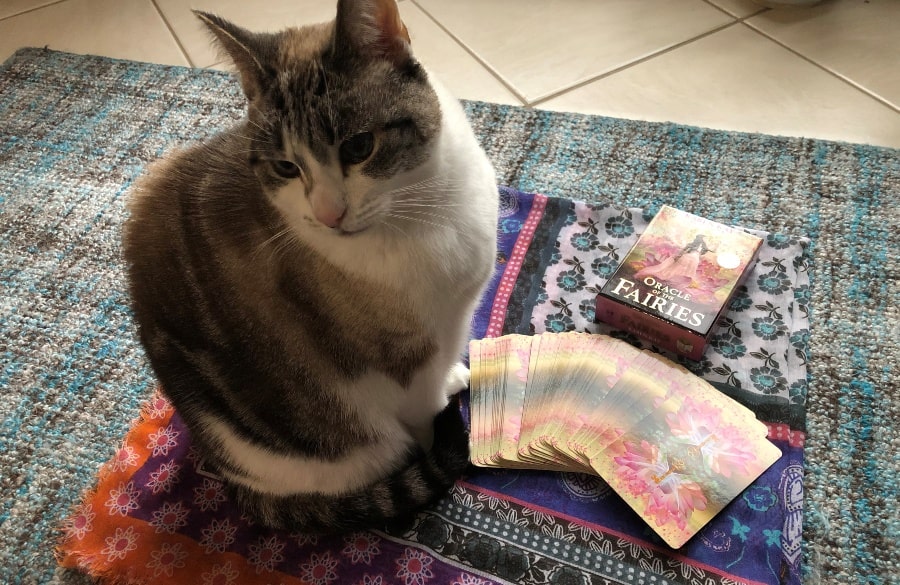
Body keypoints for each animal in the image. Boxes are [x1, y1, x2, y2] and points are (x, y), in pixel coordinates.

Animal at [121, 0, 500, 532]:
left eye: (359, 147)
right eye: (286, 168)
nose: (328, 215)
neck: (426, 208)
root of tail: (234, 482)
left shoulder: (452, 321)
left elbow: (444, 371)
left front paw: (454, 380)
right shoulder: (406, 360)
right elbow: (426, 415)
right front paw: (440, 428)